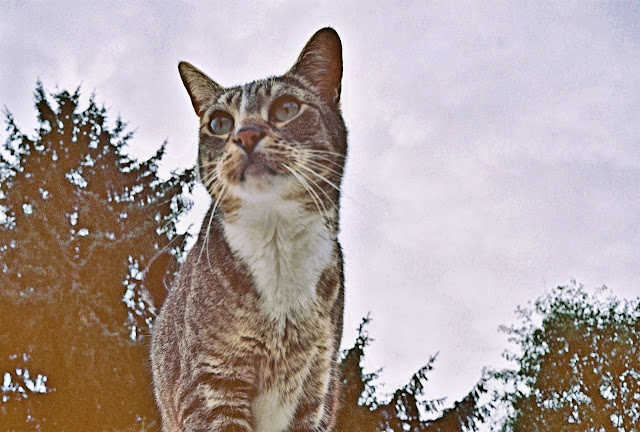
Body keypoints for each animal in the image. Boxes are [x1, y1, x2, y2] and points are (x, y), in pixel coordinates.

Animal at [150, 27, 348, 432]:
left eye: (287, 108)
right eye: (220, 123)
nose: (245, 135)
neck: (277, 244)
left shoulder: (316, 391)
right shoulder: (209, 383)